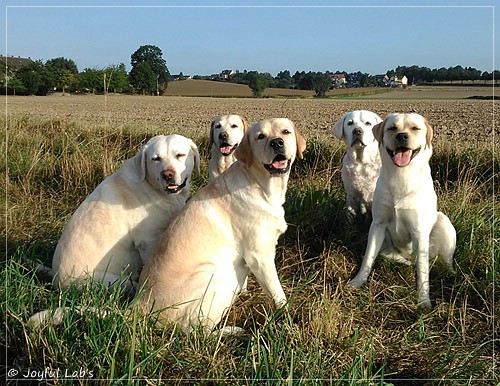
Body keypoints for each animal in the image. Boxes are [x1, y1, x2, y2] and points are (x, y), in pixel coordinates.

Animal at [51, 134, 199, 292]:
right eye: (155, 159)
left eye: (180, 155)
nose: (167, 174)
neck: (152, 187)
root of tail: (57, 282)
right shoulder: (148, 240)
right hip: (112, 281)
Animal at [135, 118, 306, 332]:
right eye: (260, 136)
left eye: (286, 132)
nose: (277, 143)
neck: (260, 185)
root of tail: (136, 306)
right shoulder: (260, 256)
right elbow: (277, 292)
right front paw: (287, 315)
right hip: (217, 276)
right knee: (198, 330)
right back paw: (233, 330)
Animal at [348, 113, 458, 310]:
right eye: (392, 128)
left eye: (415, 128)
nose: (402, 136)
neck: (401, 175)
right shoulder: (378, 225)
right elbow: (368, 257)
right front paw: (358, 282)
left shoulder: (419, 231)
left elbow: (422, 272)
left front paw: (423, 301)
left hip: (443, 223)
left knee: (444, 261)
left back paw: (451, 274)